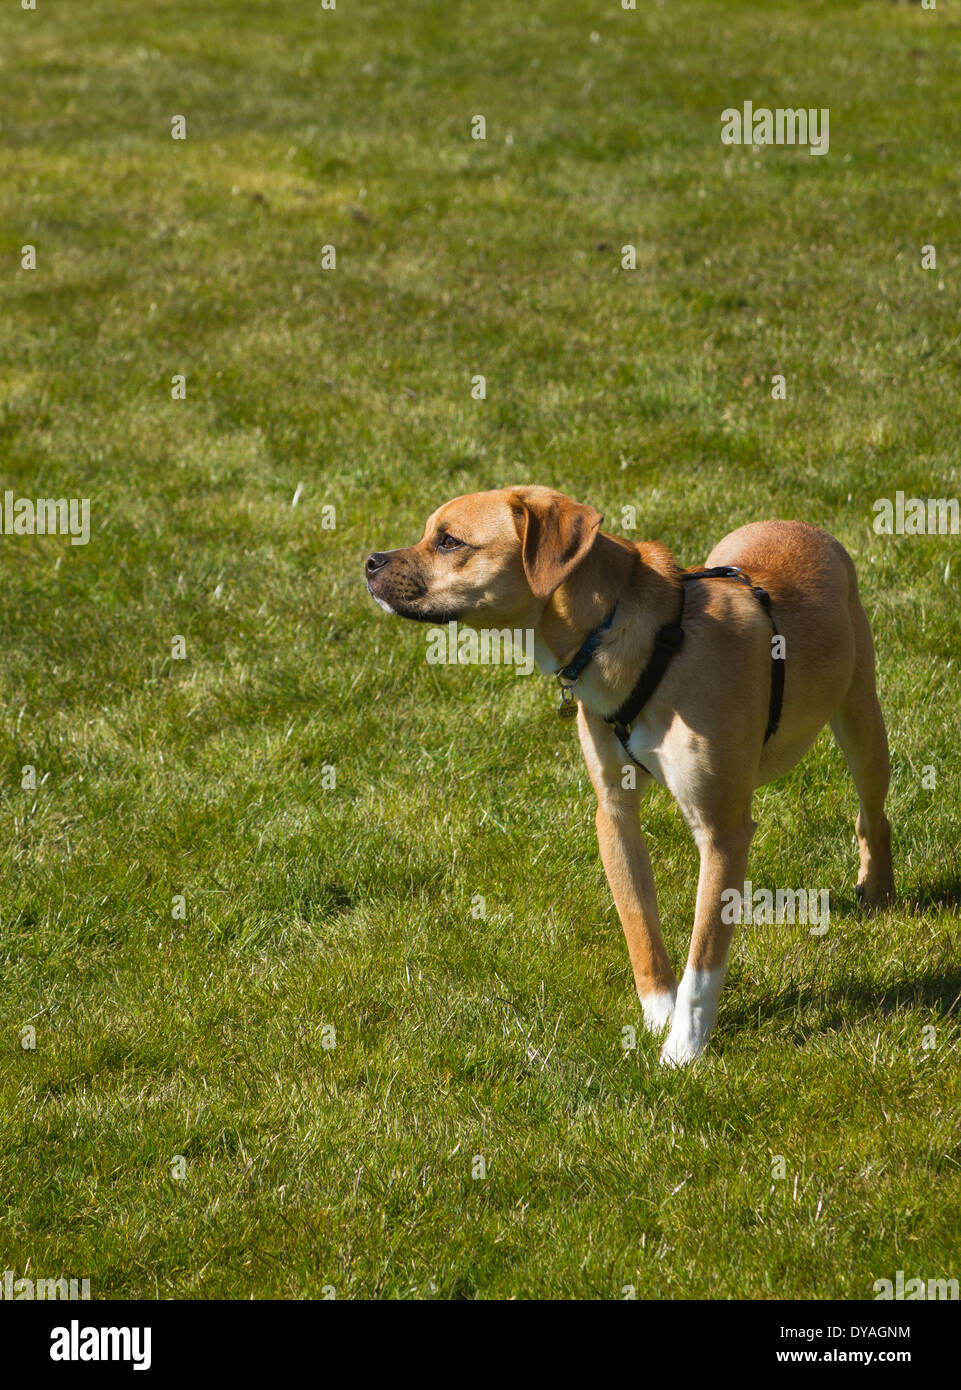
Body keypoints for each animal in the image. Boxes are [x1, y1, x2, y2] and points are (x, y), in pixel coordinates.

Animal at [364, 489, 901, 1061]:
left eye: (449, 541)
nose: (370, 562)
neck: (633, 641)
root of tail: (803, 525)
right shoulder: (614, 813)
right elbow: (638, 923)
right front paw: (657, 1015)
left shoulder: (723, 833)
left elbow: (704, 960)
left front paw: (683, 1051)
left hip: (862, 723)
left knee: (873, 817)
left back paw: (878, 891)